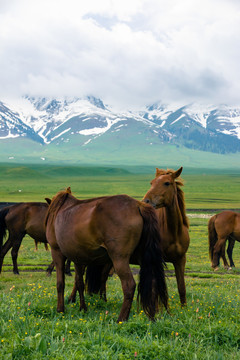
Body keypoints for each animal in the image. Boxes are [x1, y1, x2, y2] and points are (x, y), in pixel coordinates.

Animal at [45, 187, 169, 322]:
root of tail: (138, 205)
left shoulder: (57, 252)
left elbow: (60, 283)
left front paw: (60, 309)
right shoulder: (78, 258)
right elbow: (79, 283)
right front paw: (82, 308)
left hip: (119, 259)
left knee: (129, 285)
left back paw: (121, 319)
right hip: (144, 259)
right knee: (152, 283)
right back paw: (151, 316)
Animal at [142, 167, 189, 306]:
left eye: (167, 183)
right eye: (151, 183)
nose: (146, 201)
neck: (174, 231)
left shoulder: (180, 260)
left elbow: (181, 288)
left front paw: (184, 308)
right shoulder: (158, 260)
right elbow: (160, 290)